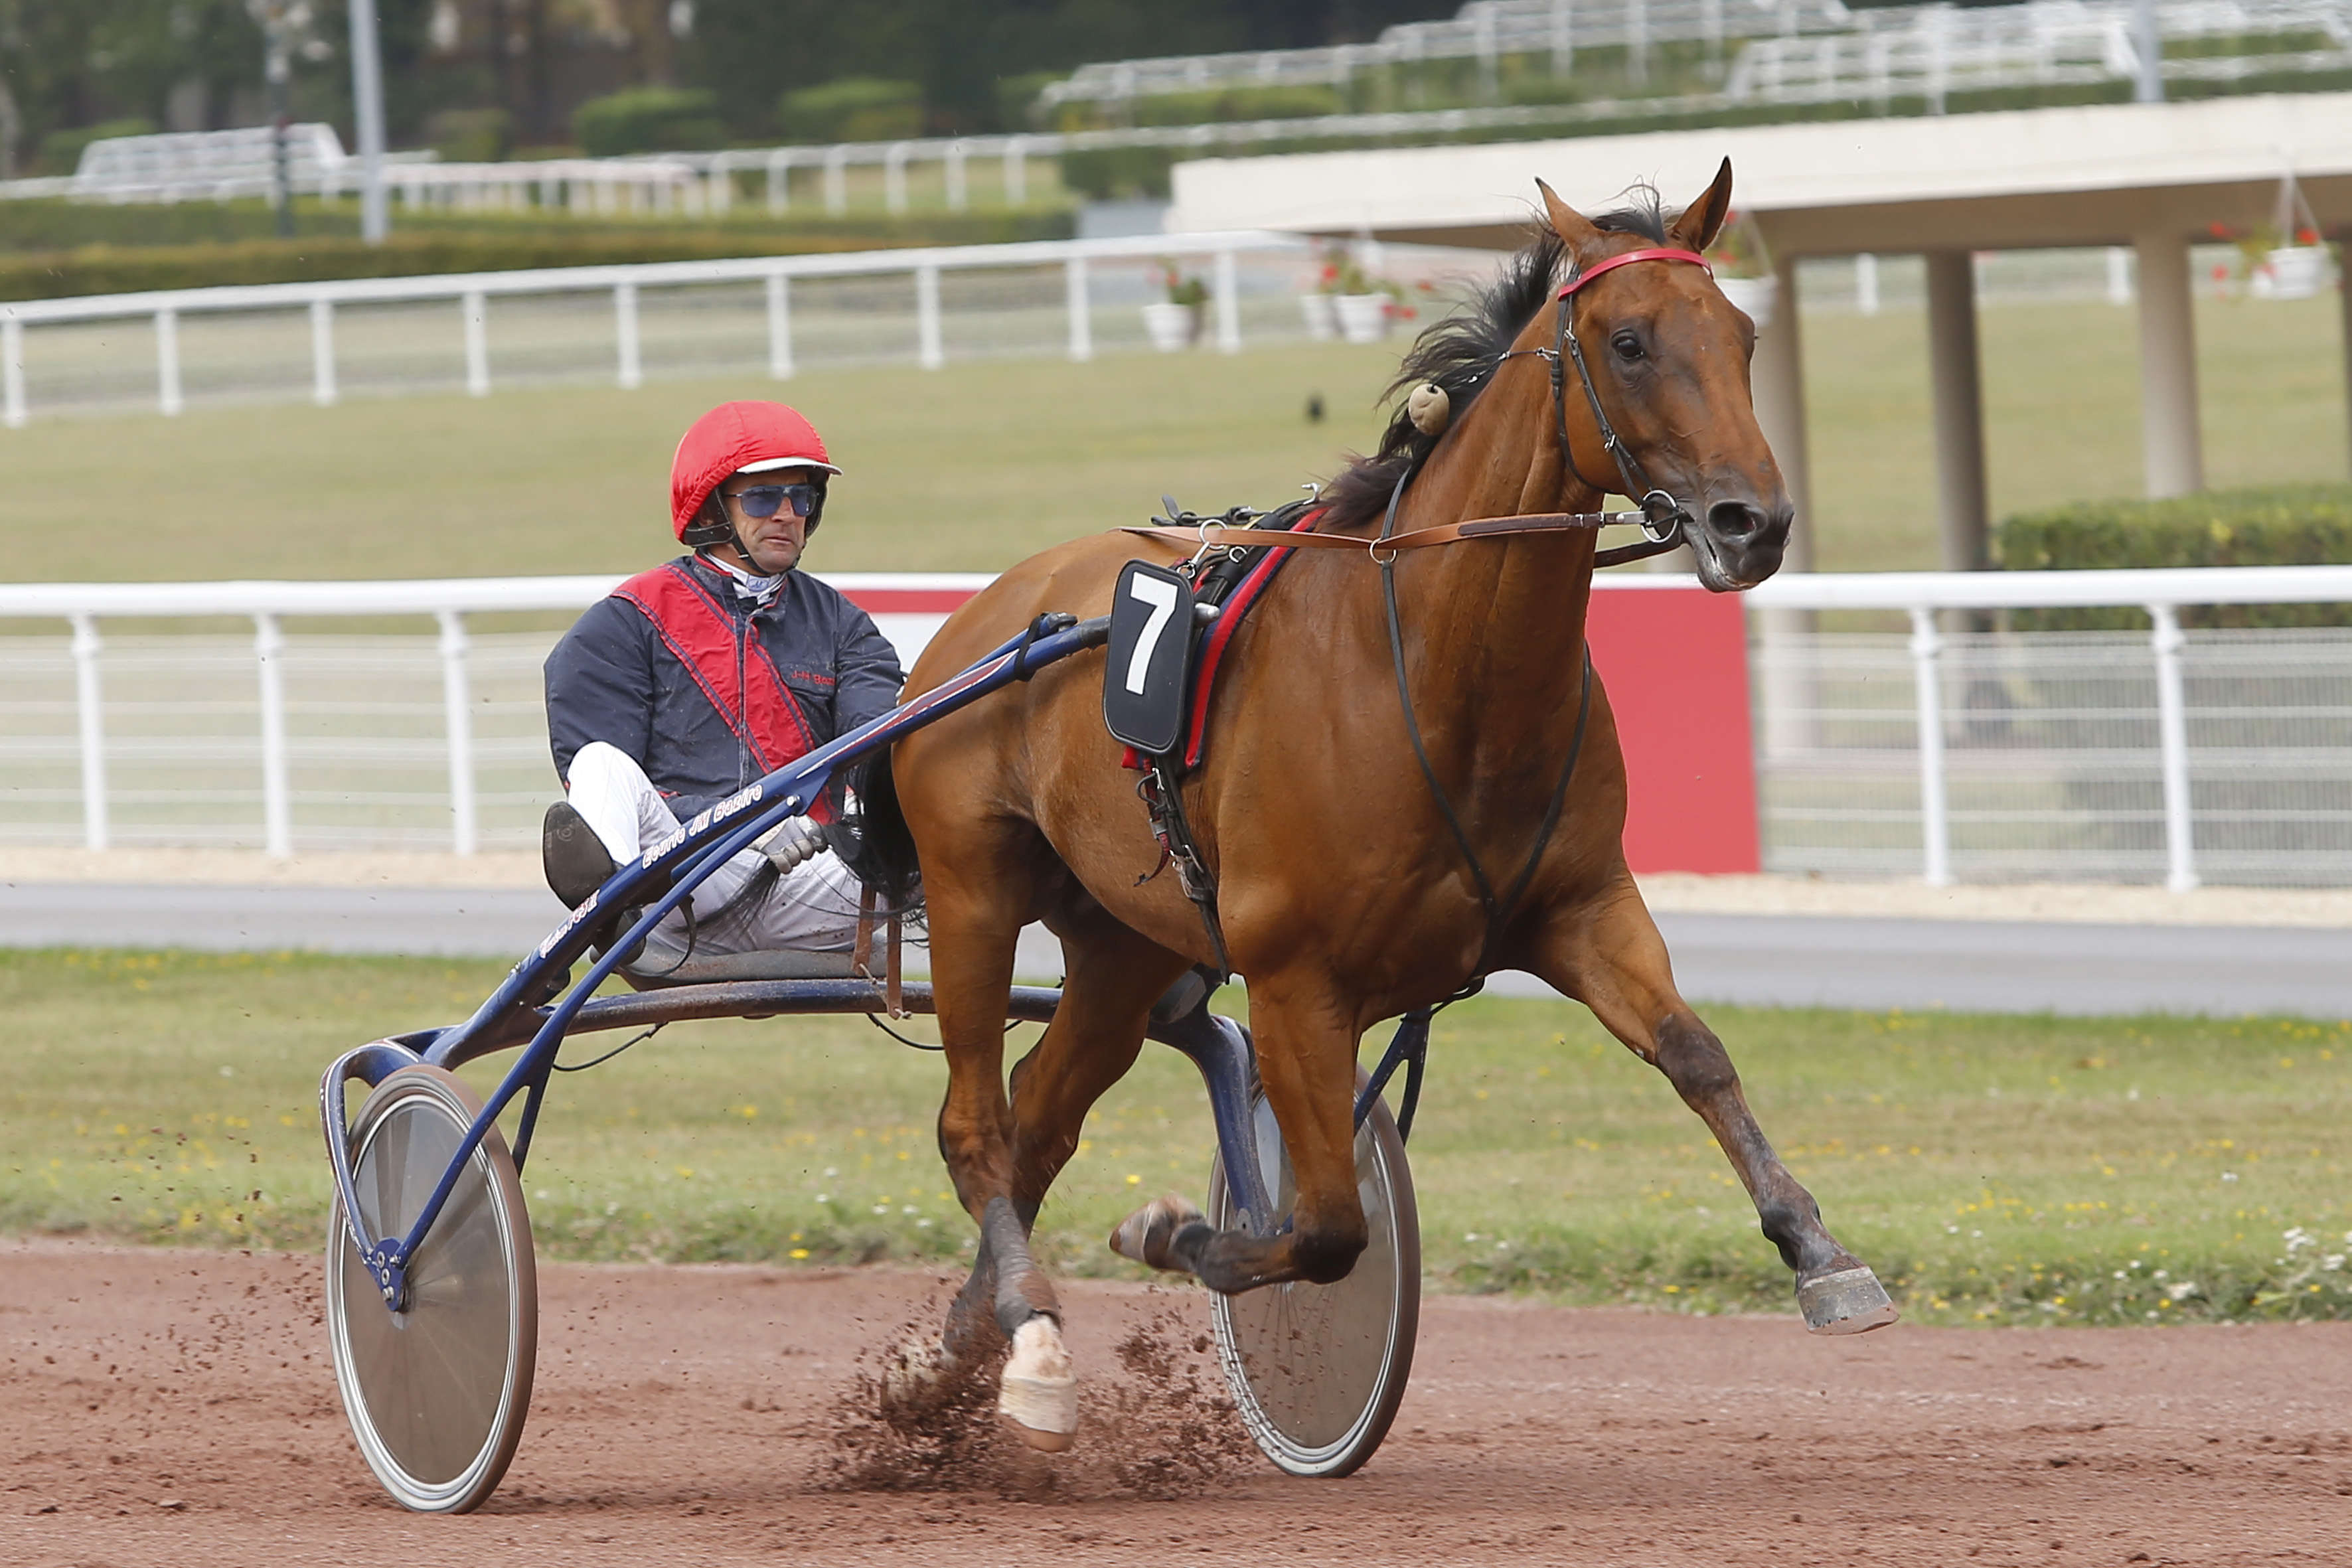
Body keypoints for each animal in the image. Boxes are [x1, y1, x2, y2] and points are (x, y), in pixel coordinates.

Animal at [860, 159, 1891, 1448]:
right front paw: (1177, 1231)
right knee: (973, 1128)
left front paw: (1819, 1250)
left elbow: (1697, 1055)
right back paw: (1023, 1339)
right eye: (1629, 341)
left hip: (1121, 944)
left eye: (1741, 334)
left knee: (1035, 1124)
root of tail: (980, 618)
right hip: (973, 893)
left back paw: (976, 1344)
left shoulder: (1581, 906)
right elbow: (1324, 1226)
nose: (1752, 523)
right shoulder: (1295, 979)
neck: (1438, 677)